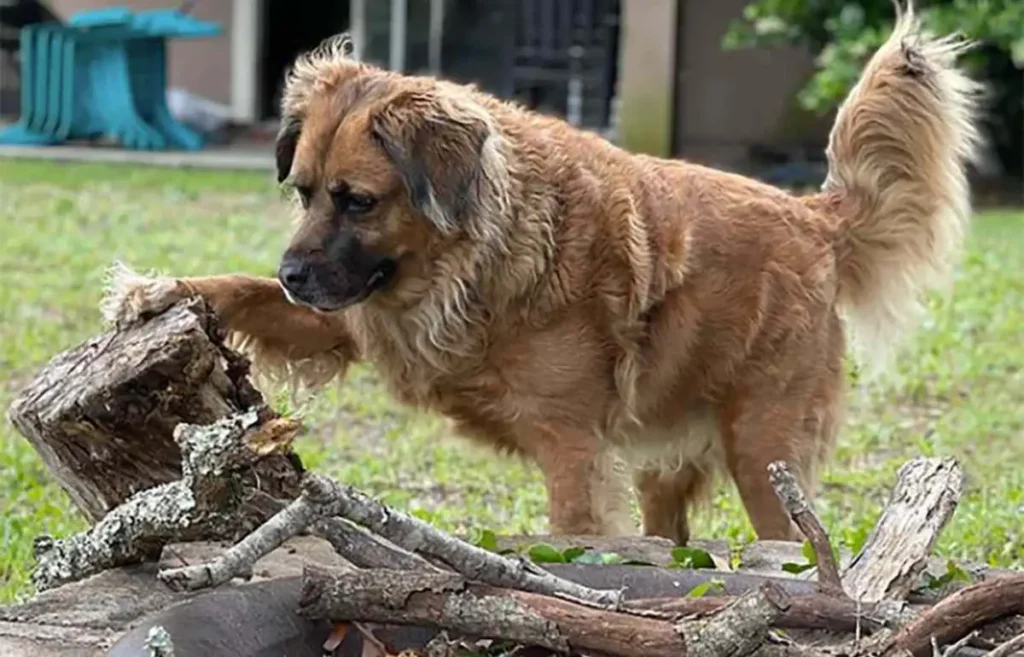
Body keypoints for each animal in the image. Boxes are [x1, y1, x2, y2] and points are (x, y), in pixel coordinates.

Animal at [101, 2, 983, 540]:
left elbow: (573, 534)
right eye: (305, 192)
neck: (471, 255)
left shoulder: (571, 445)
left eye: (358, 201)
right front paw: (156, 289)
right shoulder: (348, 312)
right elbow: (237, 291)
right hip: (668, 459)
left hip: (764, 454)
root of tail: (814, 218)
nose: (294, 274)